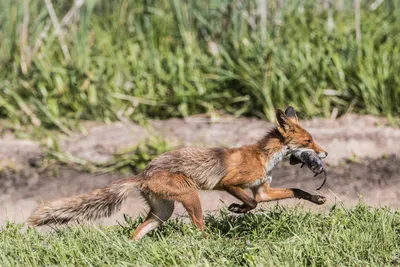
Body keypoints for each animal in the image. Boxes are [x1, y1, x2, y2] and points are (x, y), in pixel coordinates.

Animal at [27, 107, 328, 241]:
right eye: (309, 141)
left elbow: (295, 192)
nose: (324, 154)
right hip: (191, 197)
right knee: (200, 230)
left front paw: (317, 200)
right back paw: (212, 244)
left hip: (163, 212)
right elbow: (251, 202)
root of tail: (144, 172)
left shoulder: (263, 189)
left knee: (137, 232)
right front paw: (238, 209)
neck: (263, 157)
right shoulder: (229, 182)